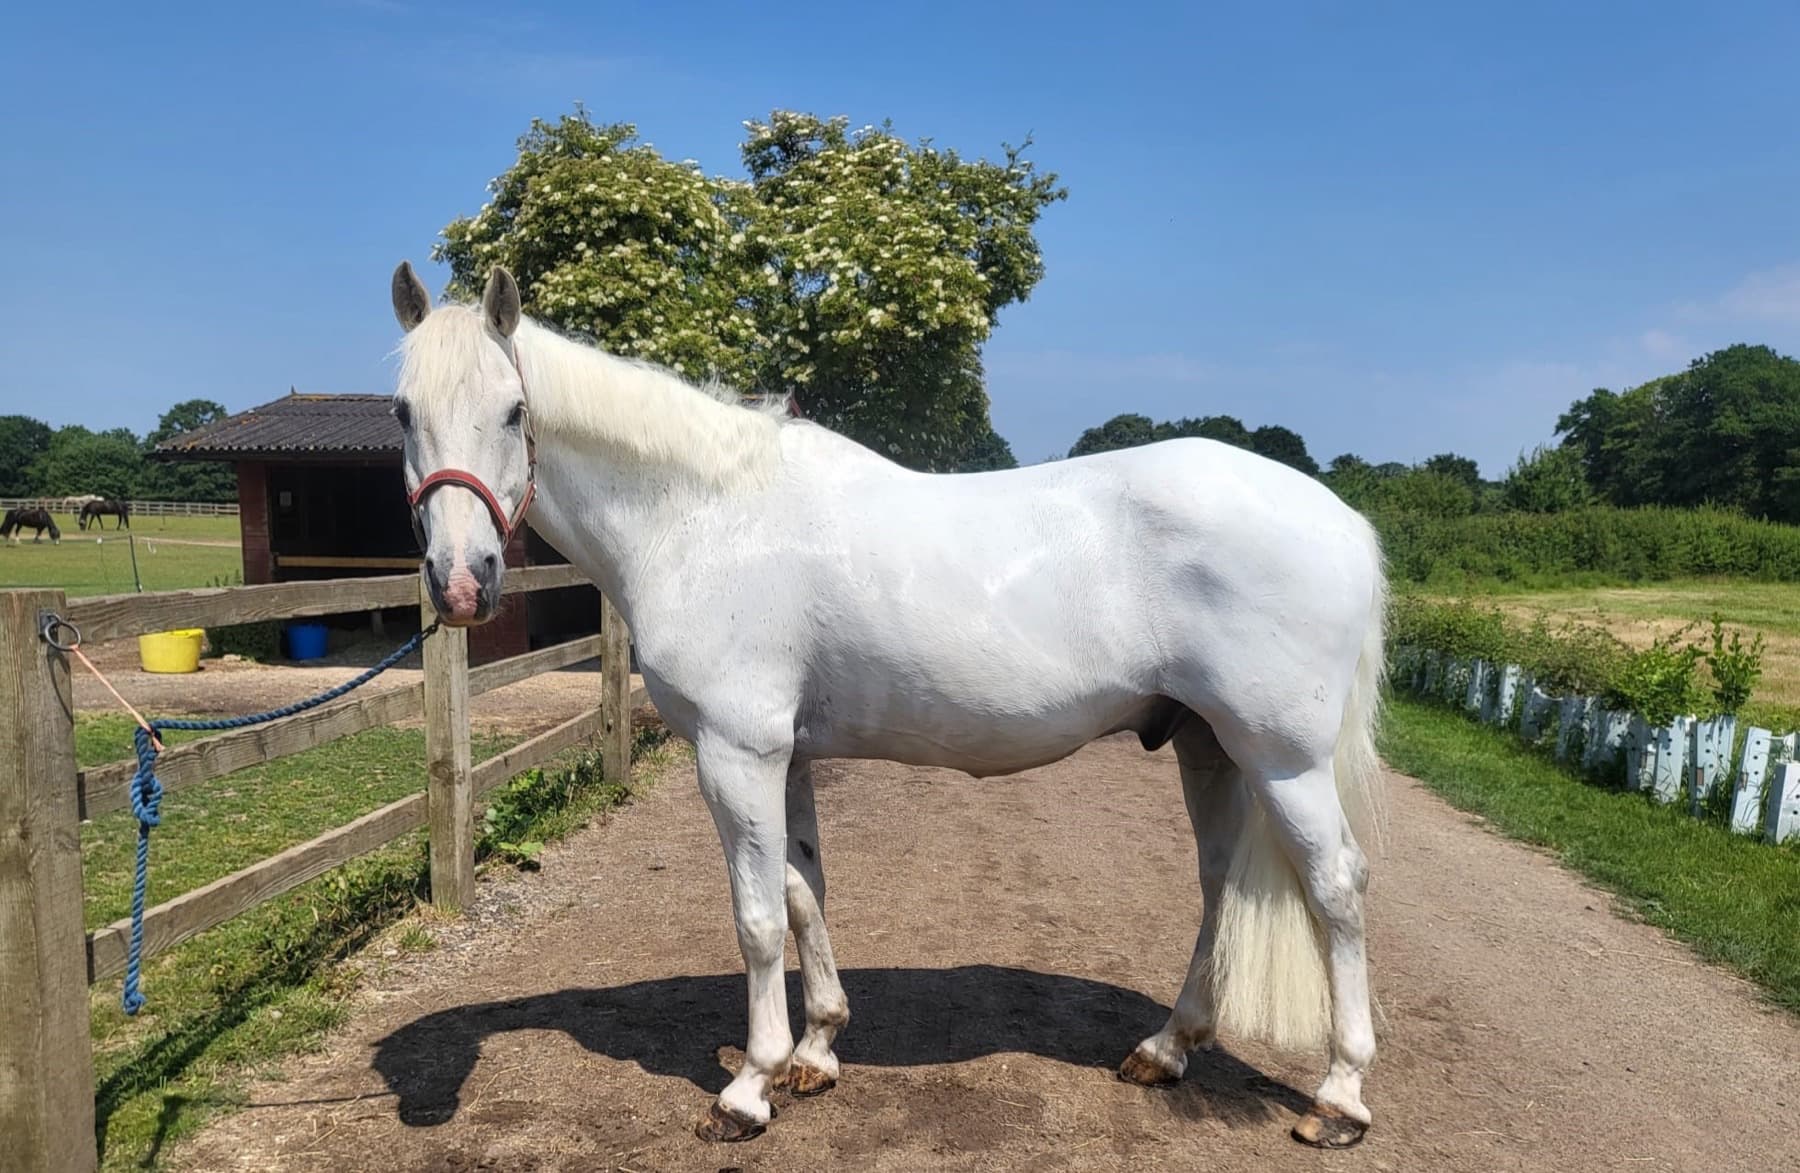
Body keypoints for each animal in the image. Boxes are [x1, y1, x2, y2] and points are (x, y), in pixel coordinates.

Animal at [389, 262, 1390, 1151]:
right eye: (403, 412)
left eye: (514, 411)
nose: (462, 584)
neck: (707, 519)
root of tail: (1345, 520)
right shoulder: (783, 756)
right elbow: (802, 893)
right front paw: (816, 1050)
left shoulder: (736, 753)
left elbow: (757, 919)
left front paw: (748, 1088)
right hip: (1207, 745)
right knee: (1221, 883)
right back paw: (1167, 1048)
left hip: (1283, 759)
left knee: (1337, 887)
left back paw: (1339, 1097)